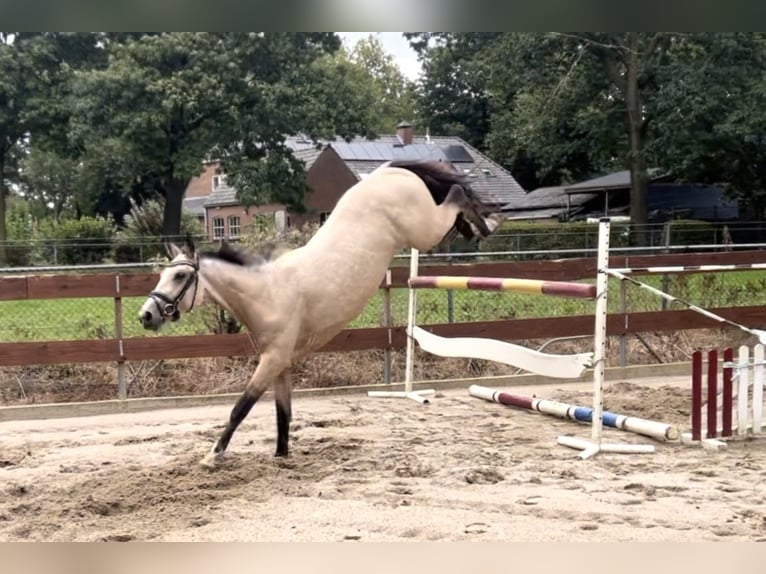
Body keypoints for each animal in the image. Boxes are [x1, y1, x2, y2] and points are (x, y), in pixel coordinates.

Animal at [141, 158, 508, 468]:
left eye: (179, 276)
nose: (147, 315)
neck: (267, 292)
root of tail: (390, 170)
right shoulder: (281, 363)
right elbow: (282, 413)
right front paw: (281, 457)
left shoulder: (271, 361)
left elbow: (240, 408)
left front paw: (211, 457)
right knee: (456, 201)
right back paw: (477, 225)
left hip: (424, 230)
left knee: (456, 194)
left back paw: (488, 223)